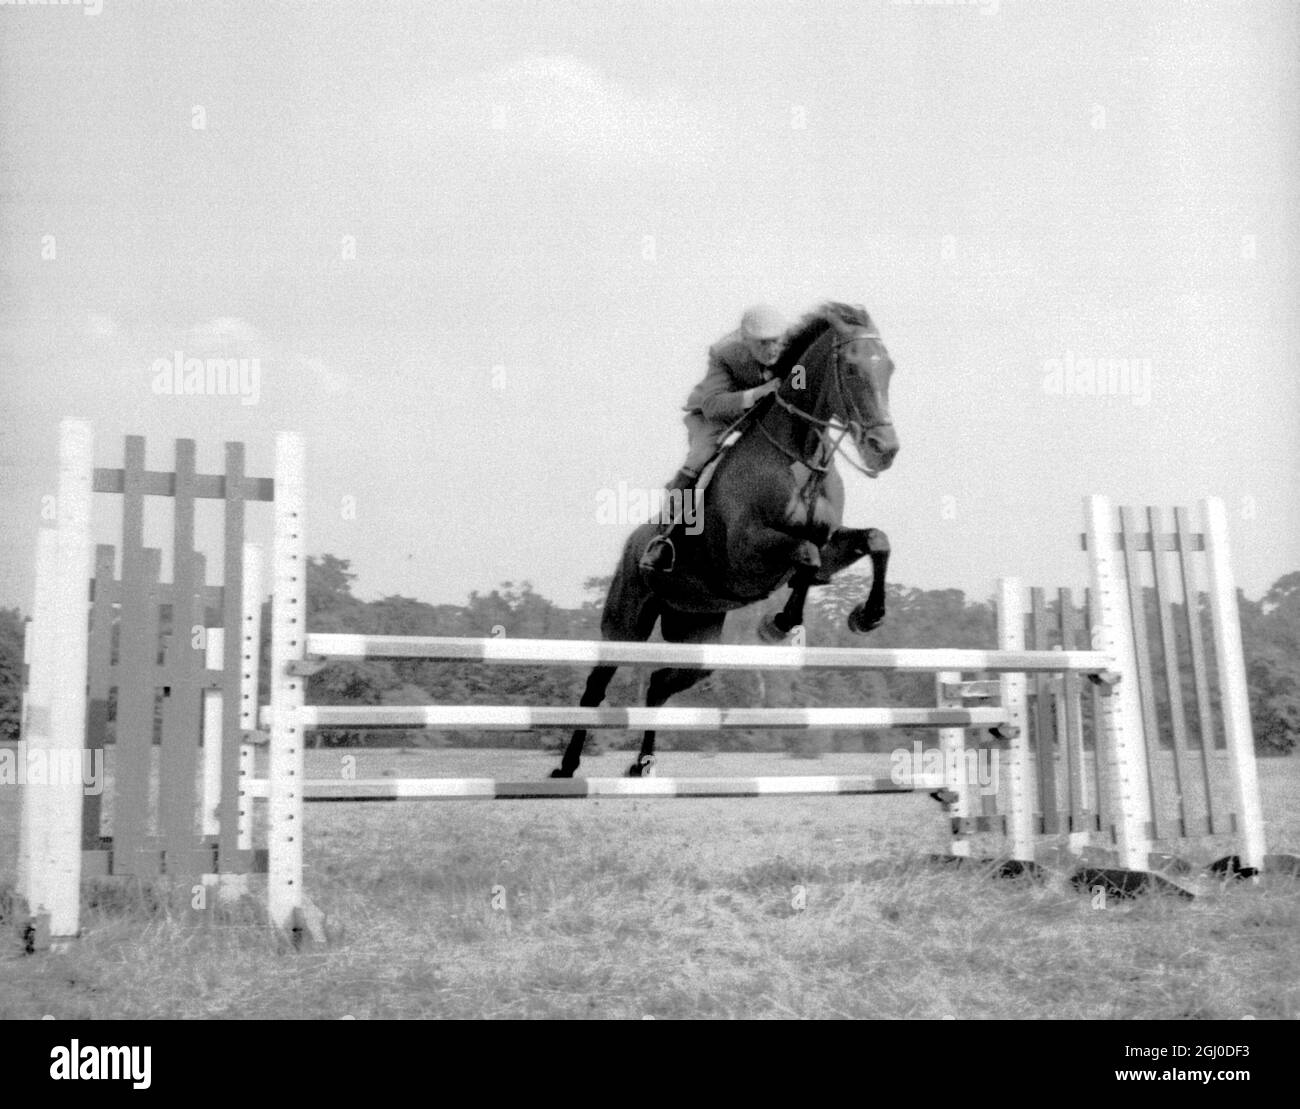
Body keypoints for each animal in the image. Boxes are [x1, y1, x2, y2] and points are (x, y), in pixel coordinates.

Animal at [553, 299, 899, 774]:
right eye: (850, 367)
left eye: (890, 368)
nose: (885, 450)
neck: (801, 457)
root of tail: (631, 545)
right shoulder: (745, 554)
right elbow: (805, 555)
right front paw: (780, 625)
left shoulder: (830, 545)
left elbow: (874, 541)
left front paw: (867, 617)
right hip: (625, 624)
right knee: (596, 686)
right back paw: (566, 766)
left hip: (699, 637)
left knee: (659, 683)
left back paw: (643, 765)